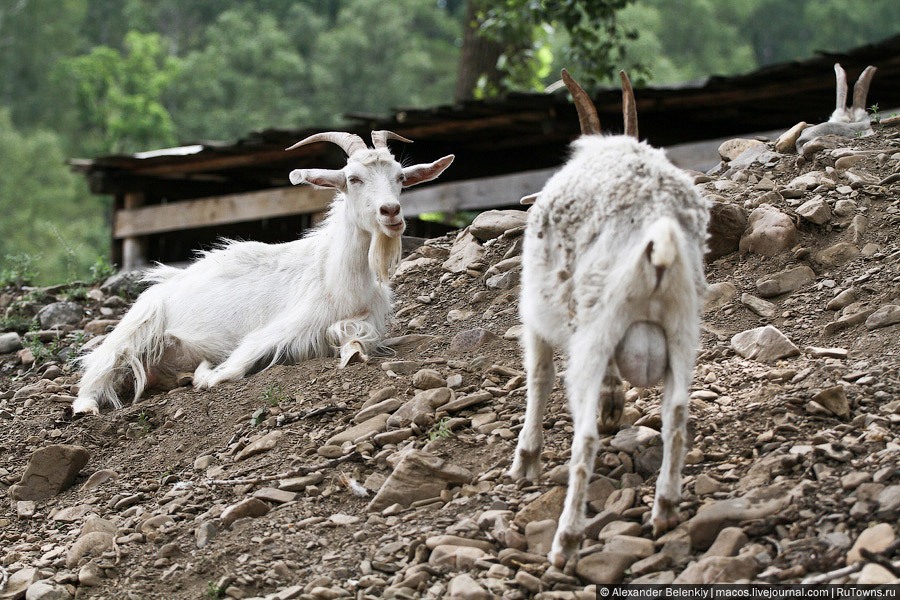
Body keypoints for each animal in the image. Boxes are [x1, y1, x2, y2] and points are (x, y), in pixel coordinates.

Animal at [73, 130, 454, 418]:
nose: (391, 212)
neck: (337, 278)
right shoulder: (280, 327)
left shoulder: (364, 321)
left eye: (400, 177)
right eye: (353, 178)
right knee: (98, 364)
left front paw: (352, 352)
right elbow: (235, 366)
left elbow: (358, 341)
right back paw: (86, 406)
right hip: (138, 324)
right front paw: (207, 375)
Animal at [506, 70, 712, 568]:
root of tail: (659, 233)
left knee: (584, 440)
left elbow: (539, 377)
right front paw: (614, 404)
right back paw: (664, 510)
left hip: (595, 330)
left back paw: (566, 541)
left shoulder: (535, 316)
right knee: (677, 414)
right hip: (682, 326)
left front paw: (525, 461)